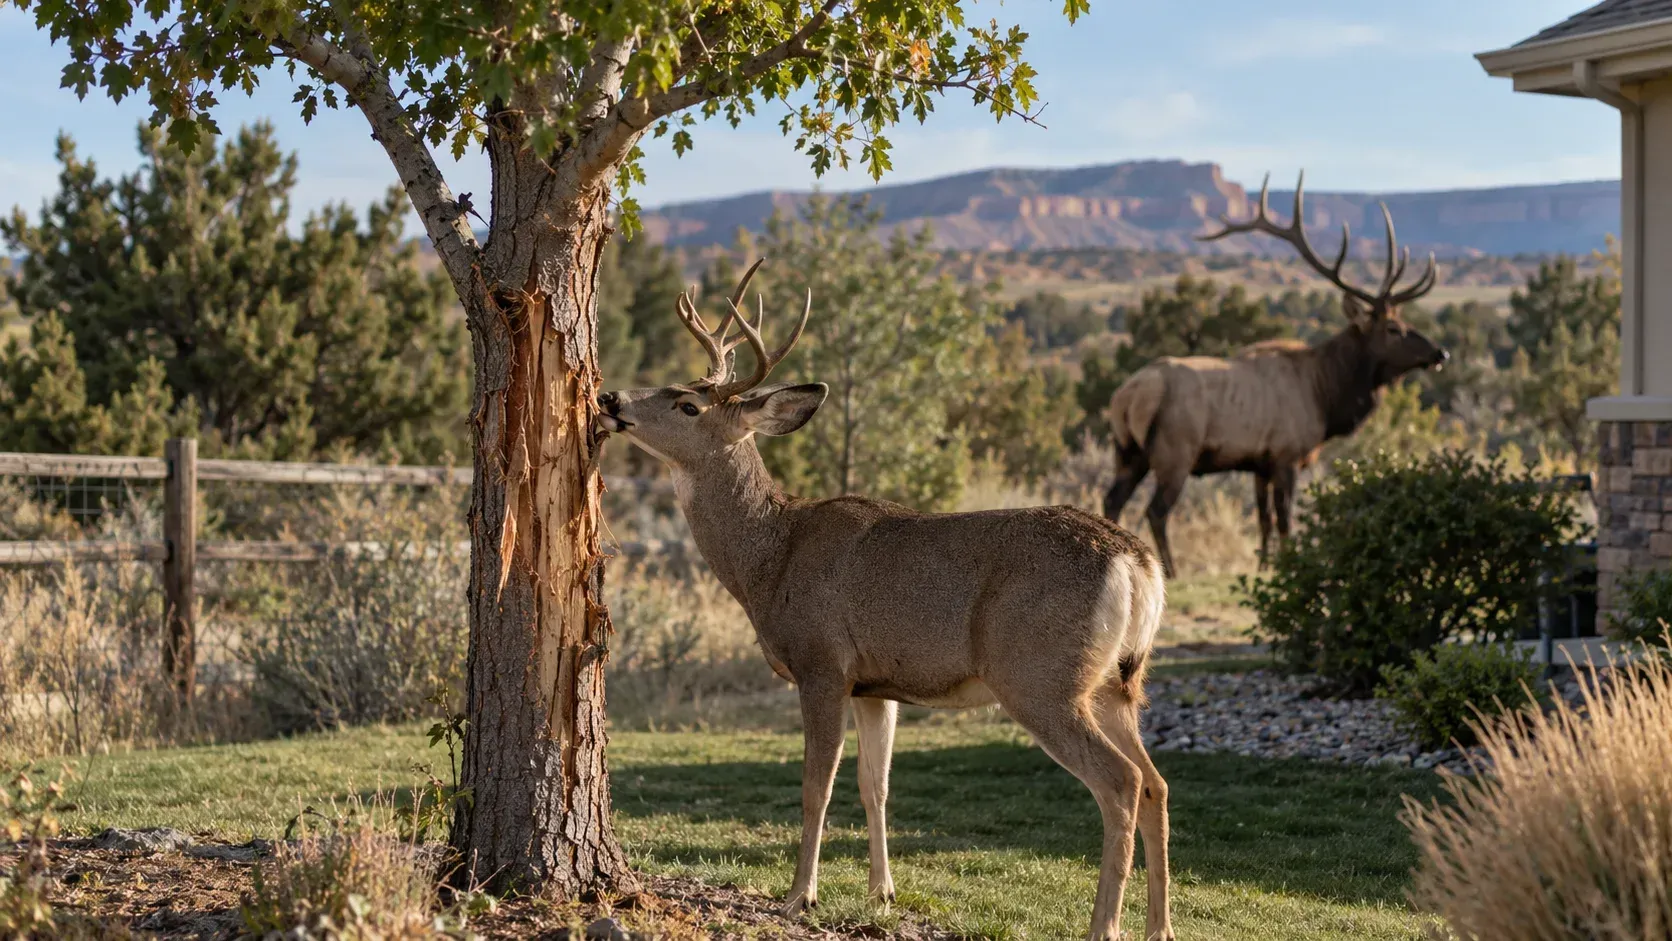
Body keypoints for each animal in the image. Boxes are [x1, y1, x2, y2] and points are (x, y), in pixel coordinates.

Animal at [596, 260, 1174, 941]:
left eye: (686, 404)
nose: (609, 398)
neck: (769, 559)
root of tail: (1137, 563)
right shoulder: (876, 685)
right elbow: (876, 784)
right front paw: (882, 891)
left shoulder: (822, 663)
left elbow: (816, 786)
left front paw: (800, 897)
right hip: (1115, 682)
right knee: (1157, 784)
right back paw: (1161, 927)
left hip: (1041, 675)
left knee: (1121, 782)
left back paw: (1104, 925)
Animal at [1102, 172, 1449, 579]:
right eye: (1394, 328)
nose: (1440, 353)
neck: (1325, 394)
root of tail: (1127, 397)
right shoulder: (1287, 454)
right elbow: (1286, 519)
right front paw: (1290, 566)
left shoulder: (1260, 464)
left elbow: (1264, 519)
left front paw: (1265, 567)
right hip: (1175, 451)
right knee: (1156, 510)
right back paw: (1171, 570)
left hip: (1127, 451)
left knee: (1113, 498)